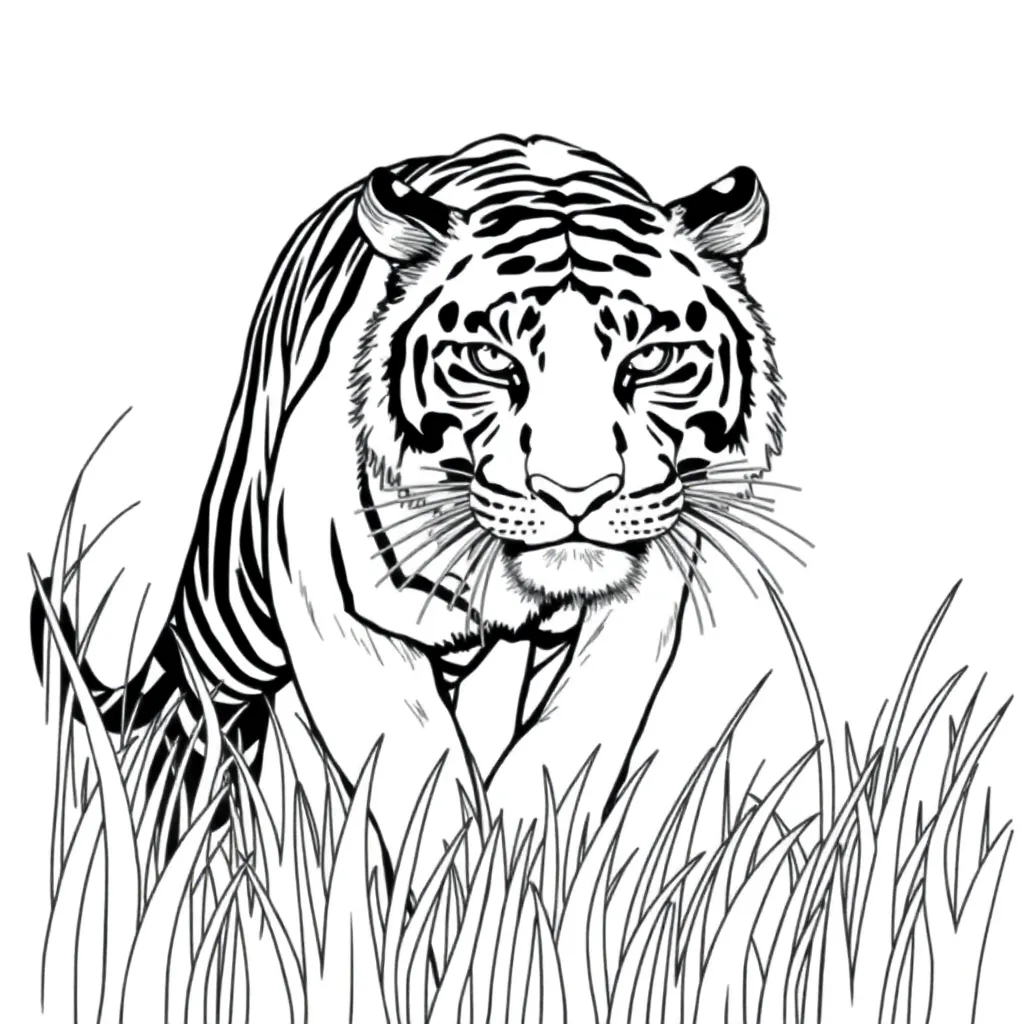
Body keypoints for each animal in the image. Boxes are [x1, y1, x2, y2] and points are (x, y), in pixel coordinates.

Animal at [31, 133, 783, 871]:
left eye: (651, 360)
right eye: (491, 361)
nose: (577, 494)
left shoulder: (638, 604)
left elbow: (565, 750)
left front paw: (519, 864)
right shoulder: (335, 612)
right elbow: (420, 769)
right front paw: (455, 883)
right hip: (234, 610)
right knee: (194, 715)